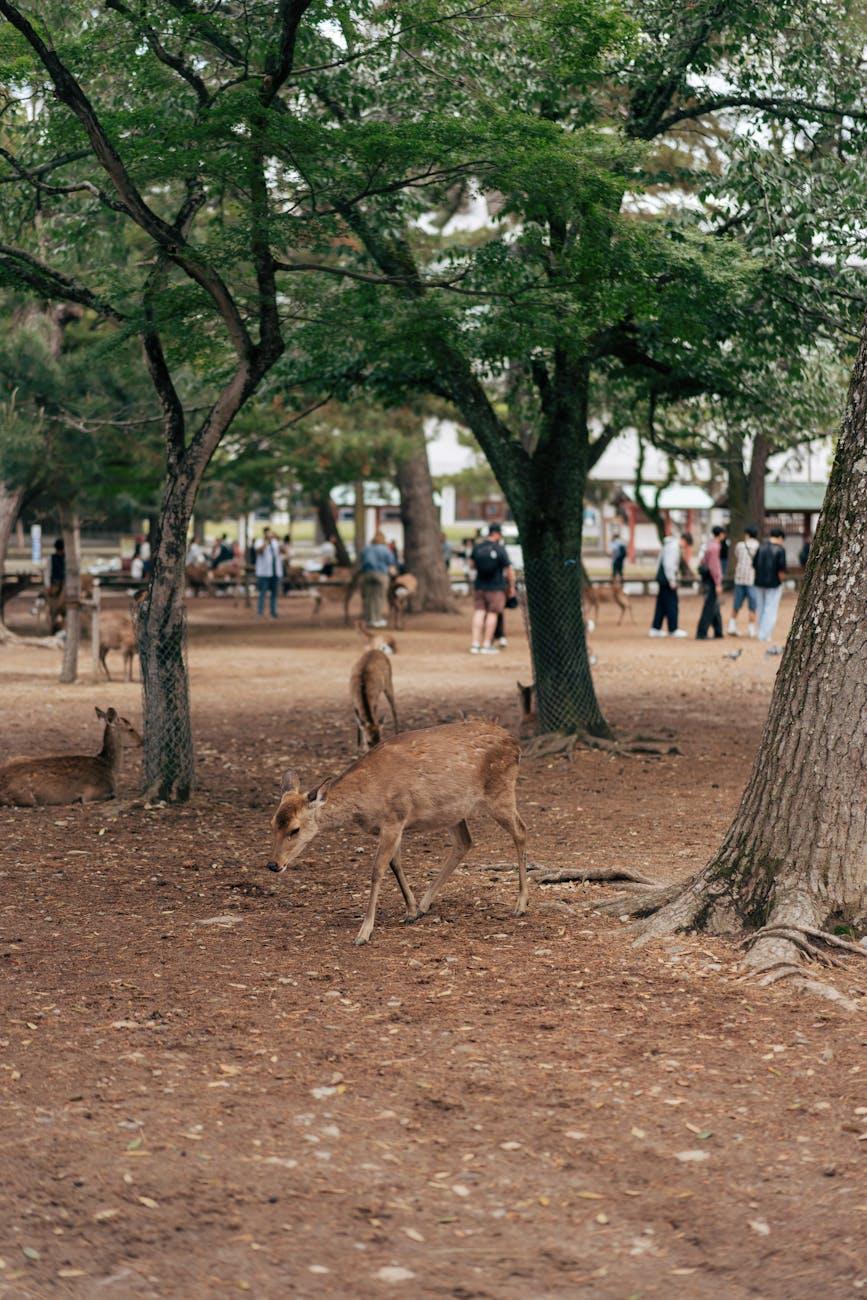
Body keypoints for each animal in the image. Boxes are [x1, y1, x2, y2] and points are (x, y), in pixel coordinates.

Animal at [0, 706, 142, 806]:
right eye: (130, 729)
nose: (142, 741)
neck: (109, 767)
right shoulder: (93, 791)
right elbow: (108, 796)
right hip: (25, 796)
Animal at [266, 719, 528, 945]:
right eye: (272, 823)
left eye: (295, 829)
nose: (273, 864)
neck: (366, 799)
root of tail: (516, 744)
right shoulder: (394, 826)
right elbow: (395, 864)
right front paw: (410, 911)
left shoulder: (394, 819)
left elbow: (377, 870)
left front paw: (364, 932)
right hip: (453, 810)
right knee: (465, 842)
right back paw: (424, 905)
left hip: (500, 792)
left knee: (521, 831)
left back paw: (521, 904)